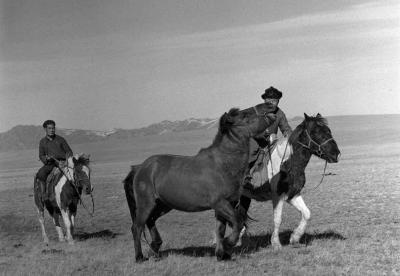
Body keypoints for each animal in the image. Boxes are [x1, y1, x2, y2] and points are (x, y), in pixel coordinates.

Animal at [123, 102, 276, 262]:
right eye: (245, 115)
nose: (269, 105)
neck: (222, 164)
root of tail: (140, 168)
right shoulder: (220, 203)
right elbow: (237, 222)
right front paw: (228, 244)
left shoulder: (225, 206)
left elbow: (220, 230)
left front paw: (222, 254)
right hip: (146, 204)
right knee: (137, 227)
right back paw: (139, 257)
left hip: (163, 205)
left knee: (150, 220)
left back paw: (155, 246)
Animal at [239, 113, 342, 249]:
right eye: (315, 132)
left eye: (328, 131)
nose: (336, 155)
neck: (287, 163)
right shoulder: (277, 196)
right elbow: (277, 219)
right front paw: (276, 243)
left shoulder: (293, 195)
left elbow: (306, 213)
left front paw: (295, 238)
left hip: (244, 196)